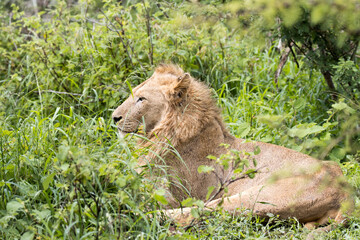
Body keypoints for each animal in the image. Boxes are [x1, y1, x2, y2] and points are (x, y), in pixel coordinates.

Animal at [113, 63, 354, 229]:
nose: (114, 117)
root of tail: (346, 192)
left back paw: (133, 214)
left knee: (196, 212)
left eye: (141, 99)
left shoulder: (179, 191)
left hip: (257, 196)